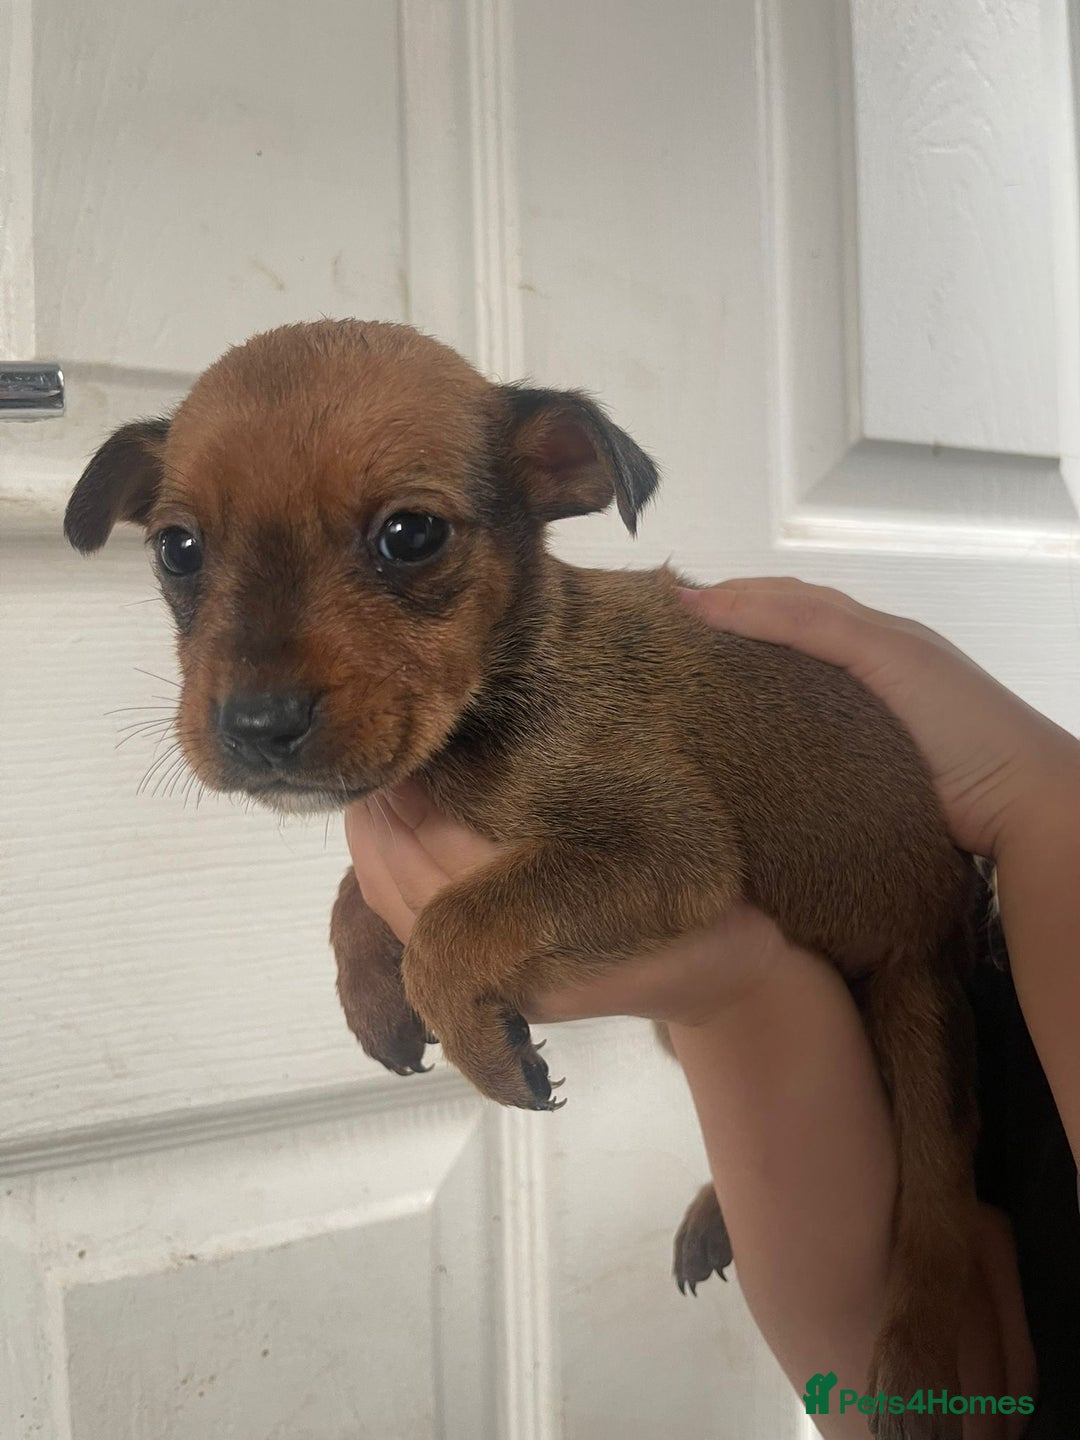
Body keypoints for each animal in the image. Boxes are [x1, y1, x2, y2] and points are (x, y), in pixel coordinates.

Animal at [65, 319, 977, 1439]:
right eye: (177, 550)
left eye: (411, 535)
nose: (256, 726)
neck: (503, 694)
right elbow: (352, 899)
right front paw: (371, 995)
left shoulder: (664, 850)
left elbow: (456, 921)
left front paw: (472, 1038)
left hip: (916, 1007)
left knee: (937, 1203)